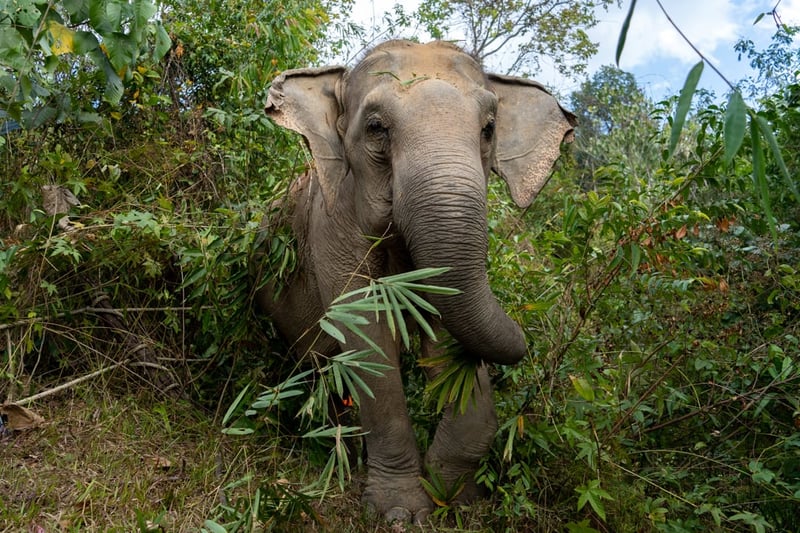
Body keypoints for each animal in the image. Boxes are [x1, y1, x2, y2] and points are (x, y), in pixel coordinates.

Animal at [256, 39, 576, 520]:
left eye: (488, 129)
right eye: (376, 128)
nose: (529, 333)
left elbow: (442, 333)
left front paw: (453, 497)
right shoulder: (332, 224)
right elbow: (367, 336)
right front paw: (399, 512)